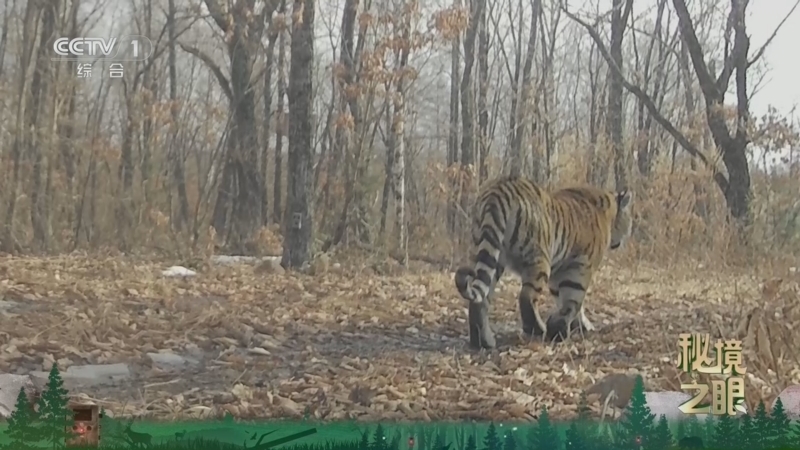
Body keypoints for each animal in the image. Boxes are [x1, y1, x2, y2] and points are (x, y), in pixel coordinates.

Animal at [454, 175, 633, 349]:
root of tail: (497, 192)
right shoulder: (580, 266)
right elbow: (573, 300)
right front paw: (561, 328)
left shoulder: (559, 271)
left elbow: (565, 300)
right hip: (538, 258)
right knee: (526, 296)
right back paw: (537, 328)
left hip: (492, 256)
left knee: (480, 300)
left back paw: (482, 341)